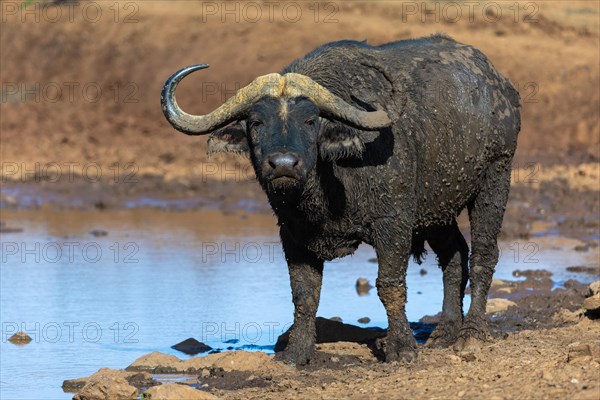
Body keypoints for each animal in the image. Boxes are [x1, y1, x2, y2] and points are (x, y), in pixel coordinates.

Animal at [163, 35, 520, 366]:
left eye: (310, 121)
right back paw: (445, 332)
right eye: (255, 122)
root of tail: (500, 86)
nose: (283, 164)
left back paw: (470, 334)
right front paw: (297, 352)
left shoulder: (393, 224)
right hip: (438, 206)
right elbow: (304, 294)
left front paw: (401, 348)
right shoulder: (293, 234)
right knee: (454, 255)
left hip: (495, 177)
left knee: (484, 254)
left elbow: (389, 285)